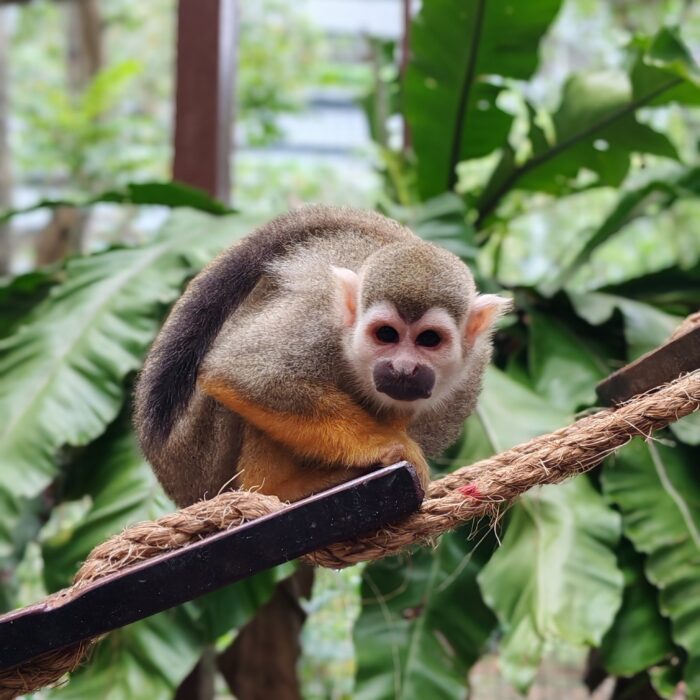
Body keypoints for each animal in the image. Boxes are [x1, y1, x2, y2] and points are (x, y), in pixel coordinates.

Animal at [134, 205, 509, 506]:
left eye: (430, 340)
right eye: (386, 335)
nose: (403, 368)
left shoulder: (469, 375)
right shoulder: (319, 321)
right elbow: (242, 372)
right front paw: (386, 444)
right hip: (200, 454)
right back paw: (277, 487)